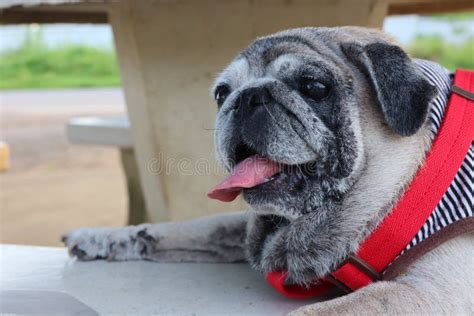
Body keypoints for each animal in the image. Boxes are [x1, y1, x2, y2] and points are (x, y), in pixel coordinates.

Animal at [64, 27, 474, 316]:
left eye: (314, 87)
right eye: (221, 94)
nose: (247, 97)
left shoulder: (428, 294)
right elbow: (190, 228)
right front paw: (108, 237)